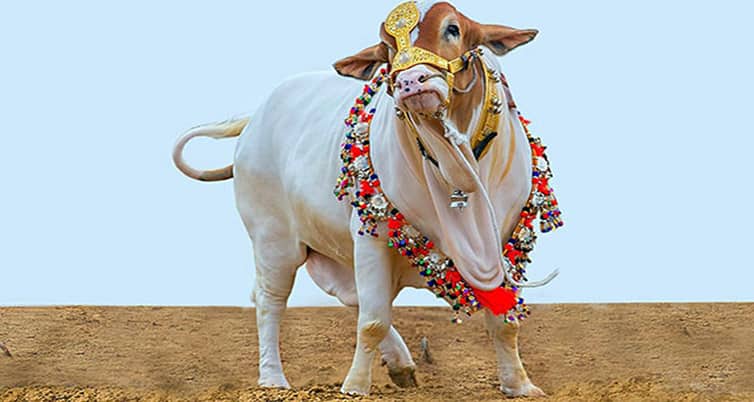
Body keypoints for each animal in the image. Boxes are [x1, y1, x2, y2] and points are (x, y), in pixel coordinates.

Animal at [173, 0, 553, 397]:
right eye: (386, 48)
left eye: (452, 28)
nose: (410, 82)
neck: (457, 168)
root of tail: (255, 119)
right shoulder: (372, 238)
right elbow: (372, 322)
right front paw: (355, 386)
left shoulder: (506, 242)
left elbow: (505, 323)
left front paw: (520, 385)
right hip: (273, 240)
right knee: (270, 301)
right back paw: (273, 379)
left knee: (351, 297)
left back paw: (401, 363)